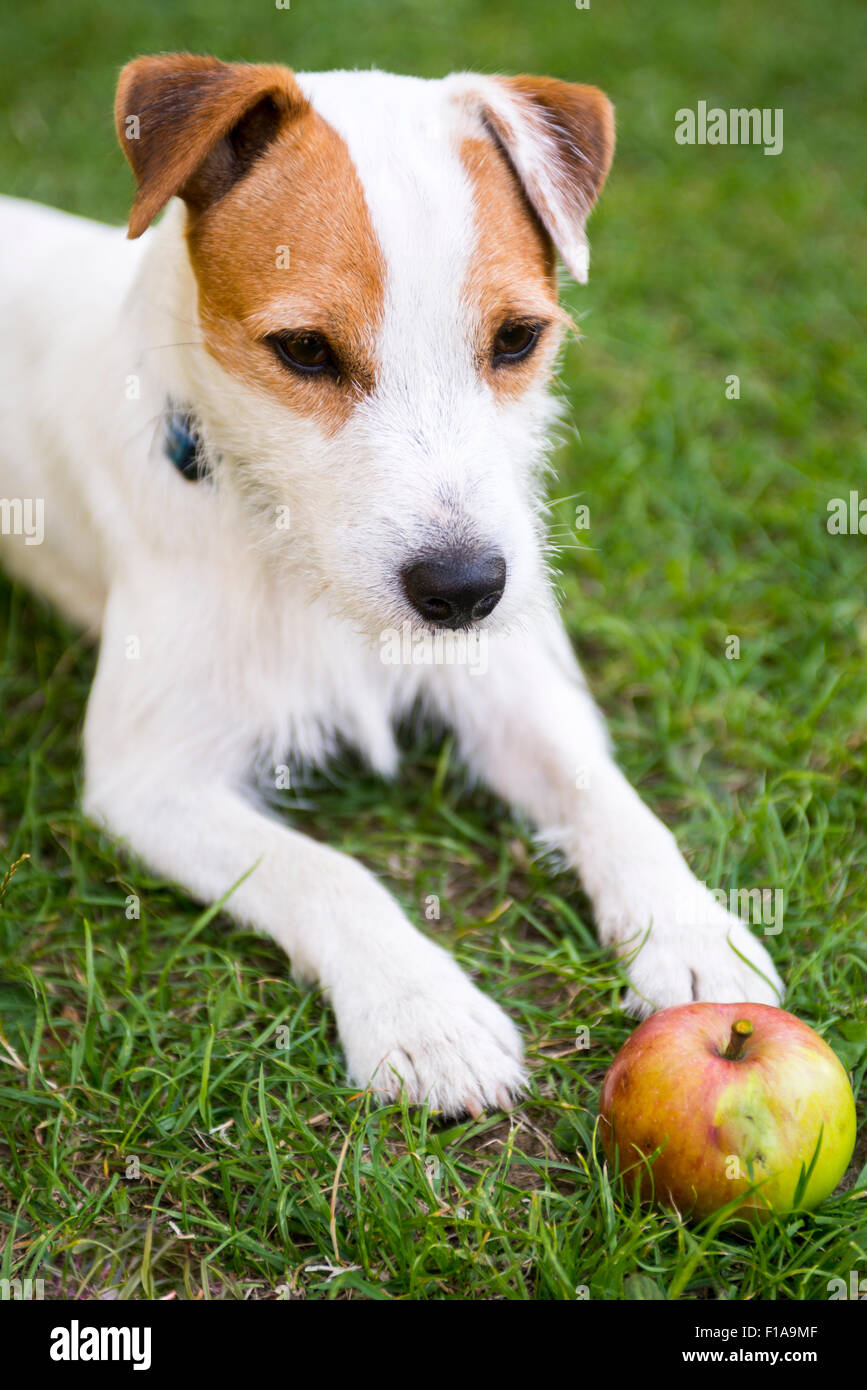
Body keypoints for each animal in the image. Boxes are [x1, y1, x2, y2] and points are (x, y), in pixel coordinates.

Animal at [0, 56, 783, 1117]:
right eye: (303, 350)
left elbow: (609, 798)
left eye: (517, 339)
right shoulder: (149, 778)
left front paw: (689, 927)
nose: (464, 590)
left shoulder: (512, 689)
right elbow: (325, 872)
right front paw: (423, 1013)